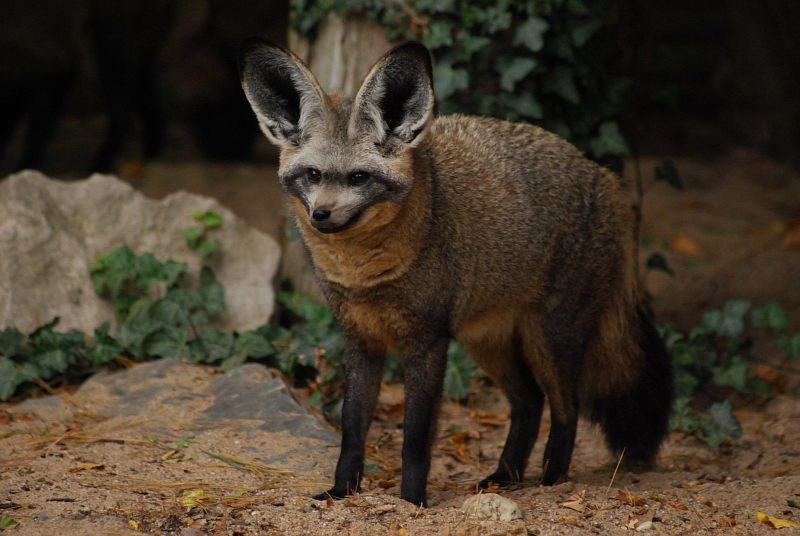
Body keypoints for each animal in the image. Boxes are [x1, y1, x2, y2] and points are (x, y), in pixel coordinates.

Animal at [238, 37, 674, 507]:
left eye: (359, 178)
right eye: (313, 175)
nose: (320, 215)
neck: (365, 277)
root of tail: (603, 176)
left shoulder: (427, 344)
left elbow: (414, 439)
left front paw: (412, 501)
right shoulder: (361, 340)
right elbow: (352, 428)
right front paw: (342, 492)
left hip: (548, 339)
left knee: (566, 409)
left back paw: (553, 479)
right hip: (488, 343)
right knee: (529, 404)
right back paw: (504, 476)